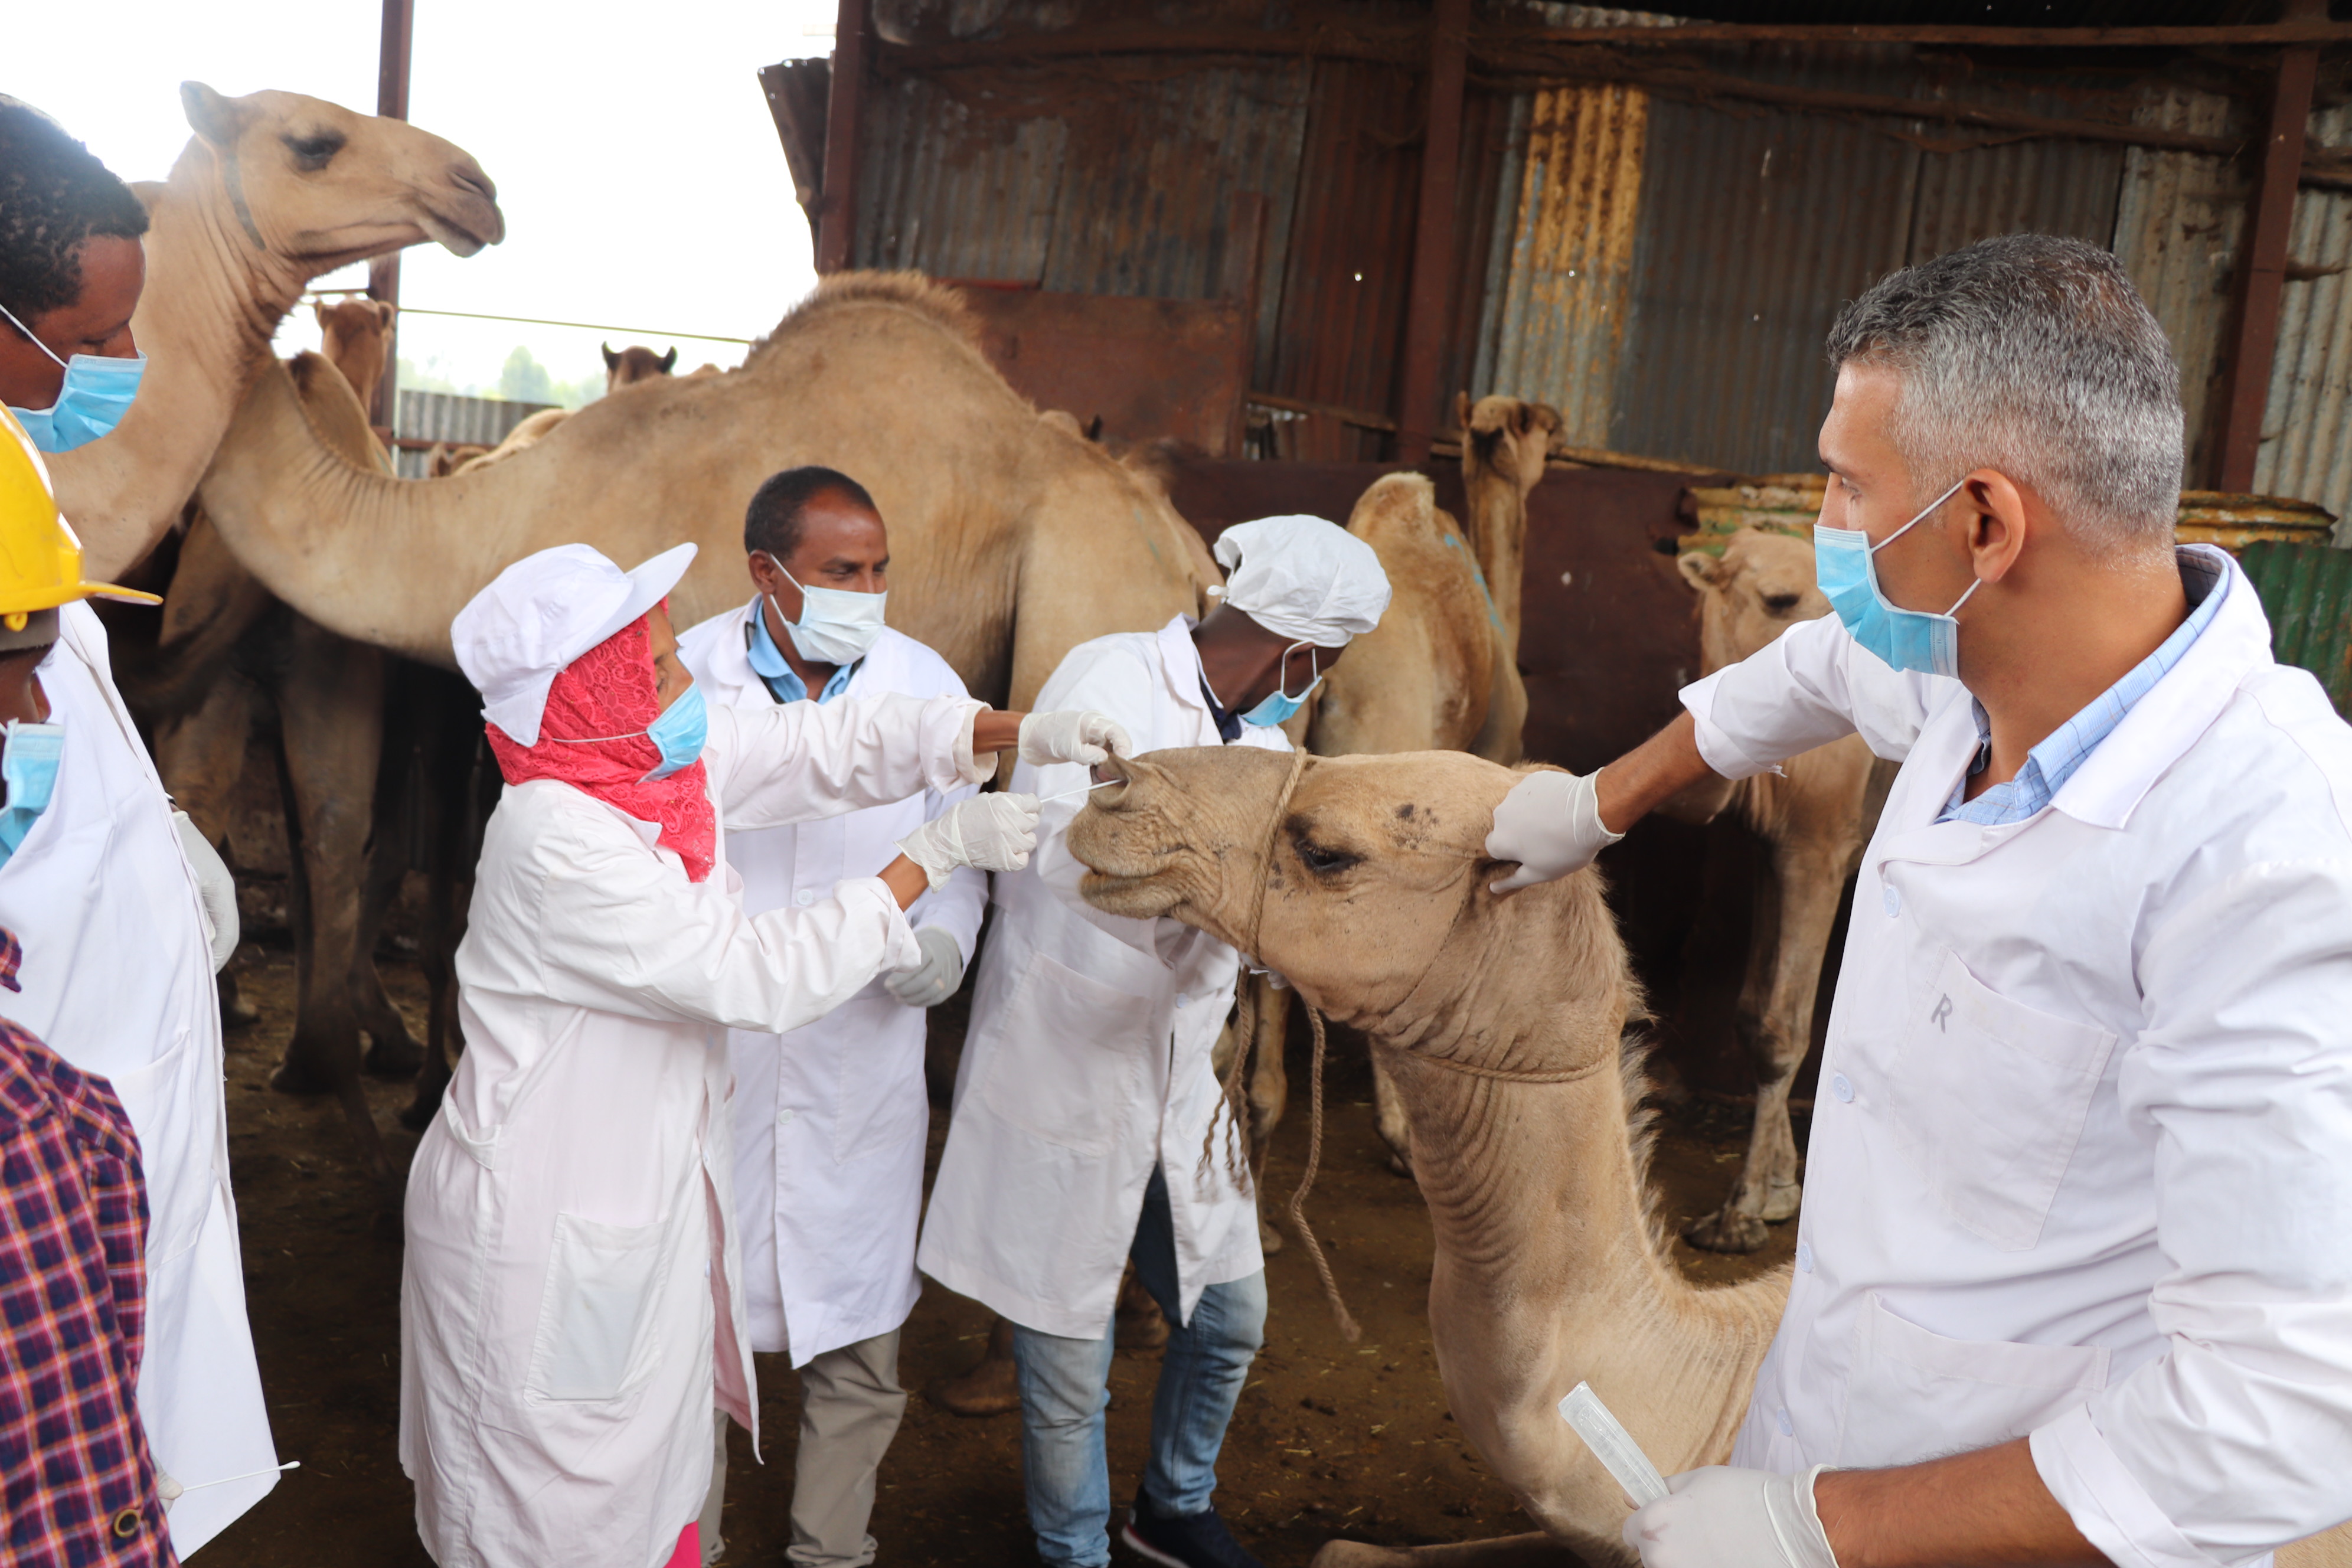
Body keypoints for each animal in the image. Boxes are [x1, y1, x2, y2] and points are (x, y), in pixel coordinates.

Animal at [1665, 533, 1881, 1260]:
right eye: (1778, 598)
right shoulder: (1771, 848)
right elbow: (1752, 1012)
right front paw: (1784, 1189)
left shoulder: (1818, 845)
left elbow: (1783, 1027)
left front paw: (1740, 1213)